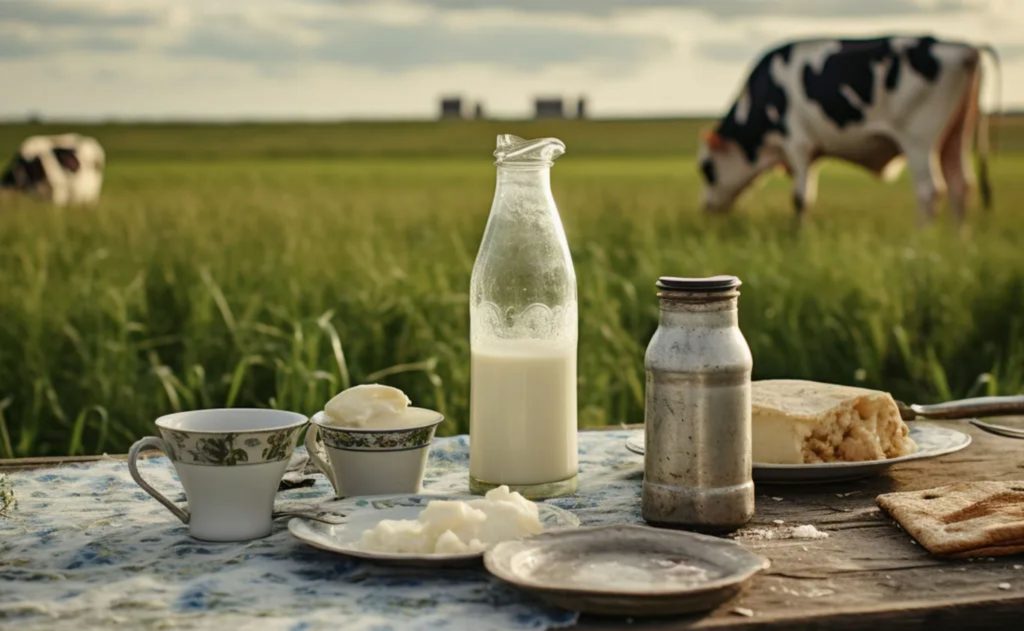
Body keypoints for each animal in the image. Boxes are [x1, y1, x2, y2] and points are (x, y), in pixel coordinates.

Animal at [700, 36, 995, 223]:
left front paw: (798, 239)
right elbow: (806, 197)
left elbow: (800, 198)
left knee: (930, 191)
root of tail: (964, 49)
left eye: (707, 169)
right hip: (957, 134)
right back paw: (958, 244)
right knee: (961, 186)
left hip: (919, 138)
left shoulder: (797, 143)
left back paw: (920, 242)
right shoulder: (812, 152)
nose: (706, 207)